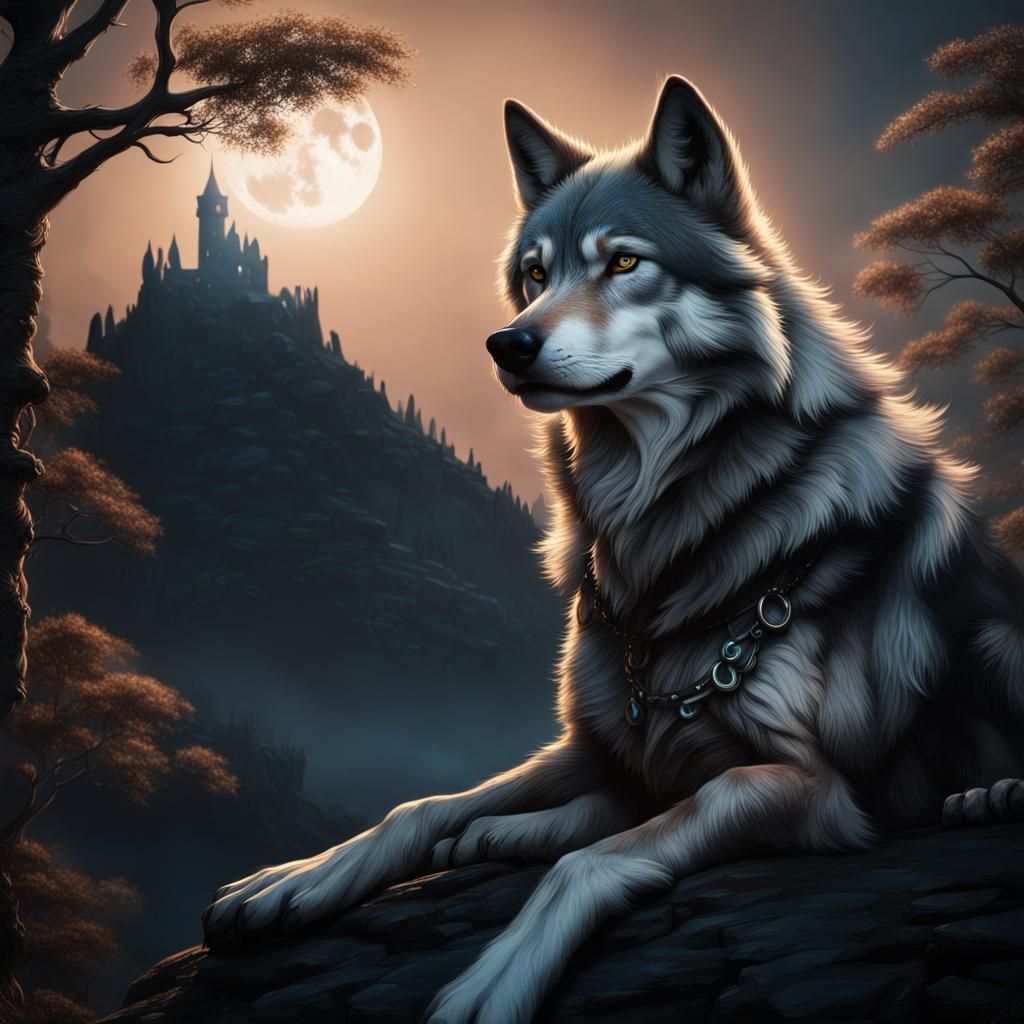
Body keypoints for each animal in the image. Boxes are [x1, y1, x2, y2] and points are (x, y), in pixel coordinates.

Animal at [203, 77, 1024, 1022]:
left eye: (625, 264)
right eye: (535, 274)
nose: (508, 343)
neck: (660, 532)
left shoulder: (810, 786)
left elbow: (587, 860)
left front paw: (492, 980)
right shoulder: (593, 743)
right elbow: (420, 805)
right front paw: (293, 880)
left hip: (996, 637)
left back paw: (991, 793)